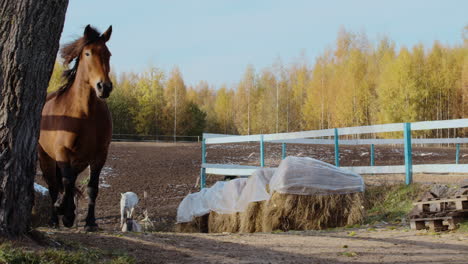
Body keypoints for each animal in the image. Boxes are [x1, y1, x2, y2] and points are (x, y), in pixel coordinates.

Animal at [38, 25, 113, 231]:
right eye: (88, 53)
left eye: (108, 54)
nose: (104, 87)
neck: (84, 113)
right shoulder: (62, 152)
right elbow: (65, 182)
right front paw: (63, 211)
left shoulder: (99, 156)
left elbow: (92, 188)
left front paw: (90, 222)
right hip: (46, 158)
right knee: (54, 185)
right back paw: (55, 219)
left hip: (79, 161)